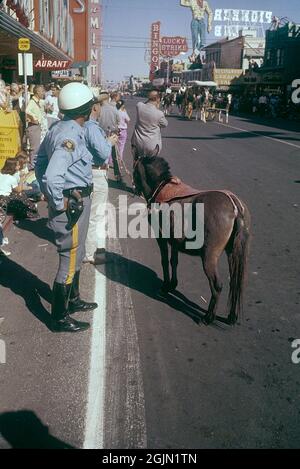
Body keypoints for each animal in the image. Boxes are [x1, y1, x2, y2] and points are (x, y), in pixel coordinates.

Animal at [134, 157, 251, 326]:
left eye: (135, 171)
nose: (135, 188)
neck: (161, 187)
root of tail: (235, 206)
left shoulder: (161, 238)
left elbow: (164, 260)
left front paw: (165, 286)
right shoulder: (174, 241)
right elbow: (174, 261)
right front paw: (173, 284)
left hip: (209, 257)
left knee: (217, 286)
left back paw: (209, 317)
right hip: (233, 253)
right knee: (235, 282)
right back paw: (231, 317)